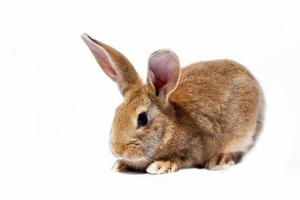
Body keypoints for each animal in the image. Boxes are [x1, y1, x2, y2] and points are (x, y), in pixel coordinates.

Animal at [81, 33, 264, 174]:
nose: (117, 150)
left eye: (142, 119)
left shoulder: (192, 147)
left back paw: (220, 160)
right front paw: (120, 165)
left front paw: (160, 166)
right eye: (116, 112)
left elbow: (179, 158)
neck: (171, 126)